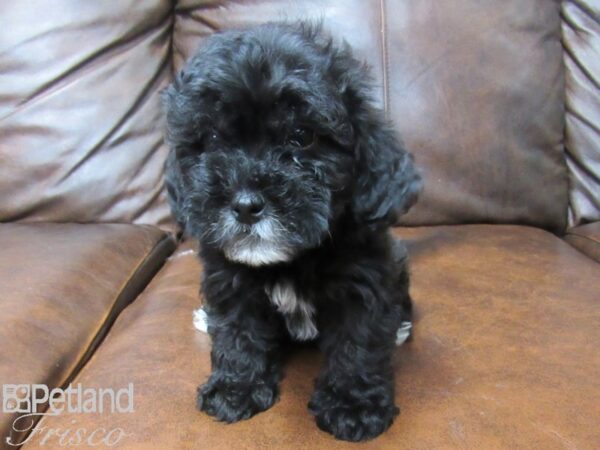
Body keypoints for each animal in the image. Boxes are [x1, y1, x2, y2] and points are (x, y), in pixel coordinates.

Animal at [162, 22, 420, 442]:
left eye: (302, 136)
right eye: (213, 139)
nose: (245, 204)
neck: (289, 261)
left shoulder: (365, 280)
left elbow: (359, 341)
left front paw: (354, 405)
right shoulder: (228, 279)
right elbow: (237, 331)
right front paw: (235, 389)